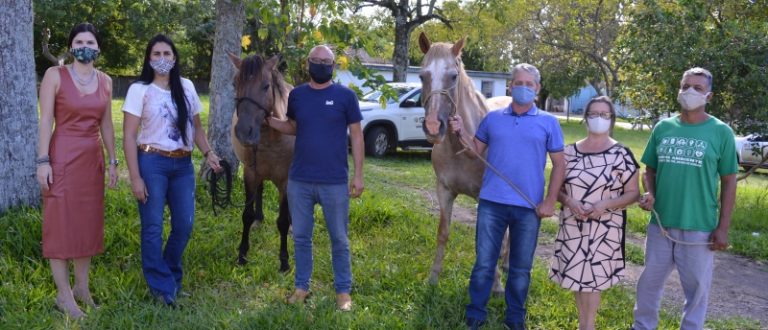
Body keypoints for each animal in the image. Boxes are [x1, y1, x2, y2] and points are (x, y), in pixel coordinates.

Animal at [228, 53, 294, 270]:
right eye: (235, 83)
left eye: (266, 86)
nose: (243, 131)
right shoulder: (251, 173)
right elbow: (246, 215)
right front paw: (242, 254)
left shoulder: (286, 181)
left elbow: (282, 221)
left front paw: (284, 261)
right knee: (260, 190)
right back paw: (259, 219)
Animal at [416, 32, 508, 292]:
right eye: (422, 75)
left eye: (453, 76)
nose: (433, 127)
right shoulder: (444, 191)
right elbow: (443, 232)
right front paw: (433, 278)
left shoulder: (486, 199)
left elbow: (489, 240)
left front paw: (496, 285)